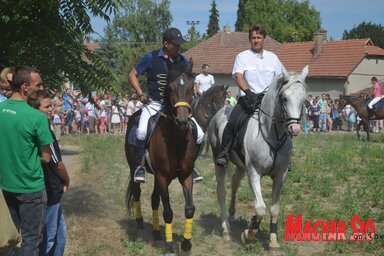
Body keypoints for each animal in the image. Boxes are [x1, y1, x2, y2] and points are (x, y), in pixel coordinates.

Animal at [125, 59, 198, 254]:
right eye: (170, 88)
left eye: (191, 87)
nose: (182, 122)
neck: (176, 140)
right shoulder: (163, 177)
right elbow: (168, 212)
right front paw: (170, 246)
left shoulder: (185, 176)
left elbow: (189, 208)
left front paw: (186, 244)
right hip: (136, 169)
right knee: (138, 192)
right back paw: (140, 224)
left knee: (154, 199)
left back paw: (157, 233)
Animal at [208, 65, 308, 248]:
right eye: (283, 98)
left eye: (304, 99)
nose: (295, 129)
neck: (272, 135)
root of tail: (219, 112)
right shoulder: (254, 173)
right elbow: (260, 208)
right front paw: (249, 234)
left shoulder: (280, 175)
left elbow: (274, 209)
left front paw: (273, 240)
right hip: (219, 160)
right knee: (222, 192)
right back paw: (226, 229)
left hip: (241, 166)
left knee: (234, 183)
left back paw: (232, 214)